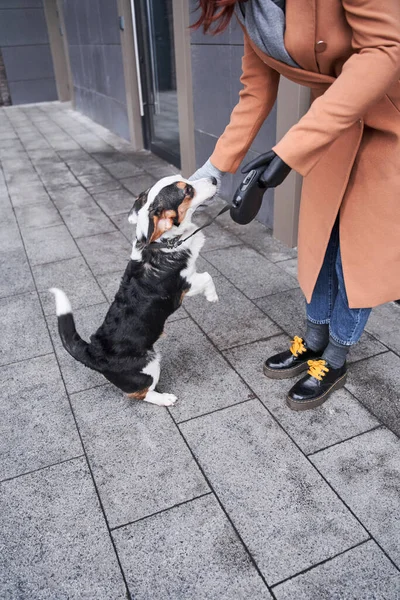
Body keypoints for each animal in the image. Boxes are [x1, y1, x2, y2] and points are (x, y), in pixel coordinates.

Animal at [50, 173, 219, 408]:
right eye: (187, 191)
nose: (214, 179)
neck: (162, 243)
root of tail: (93, 353)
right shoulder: (185, 284)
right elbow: (207, 277)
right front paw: (213, 297)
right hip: (150, 363)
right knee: (141, 393)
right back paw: (165, 398)